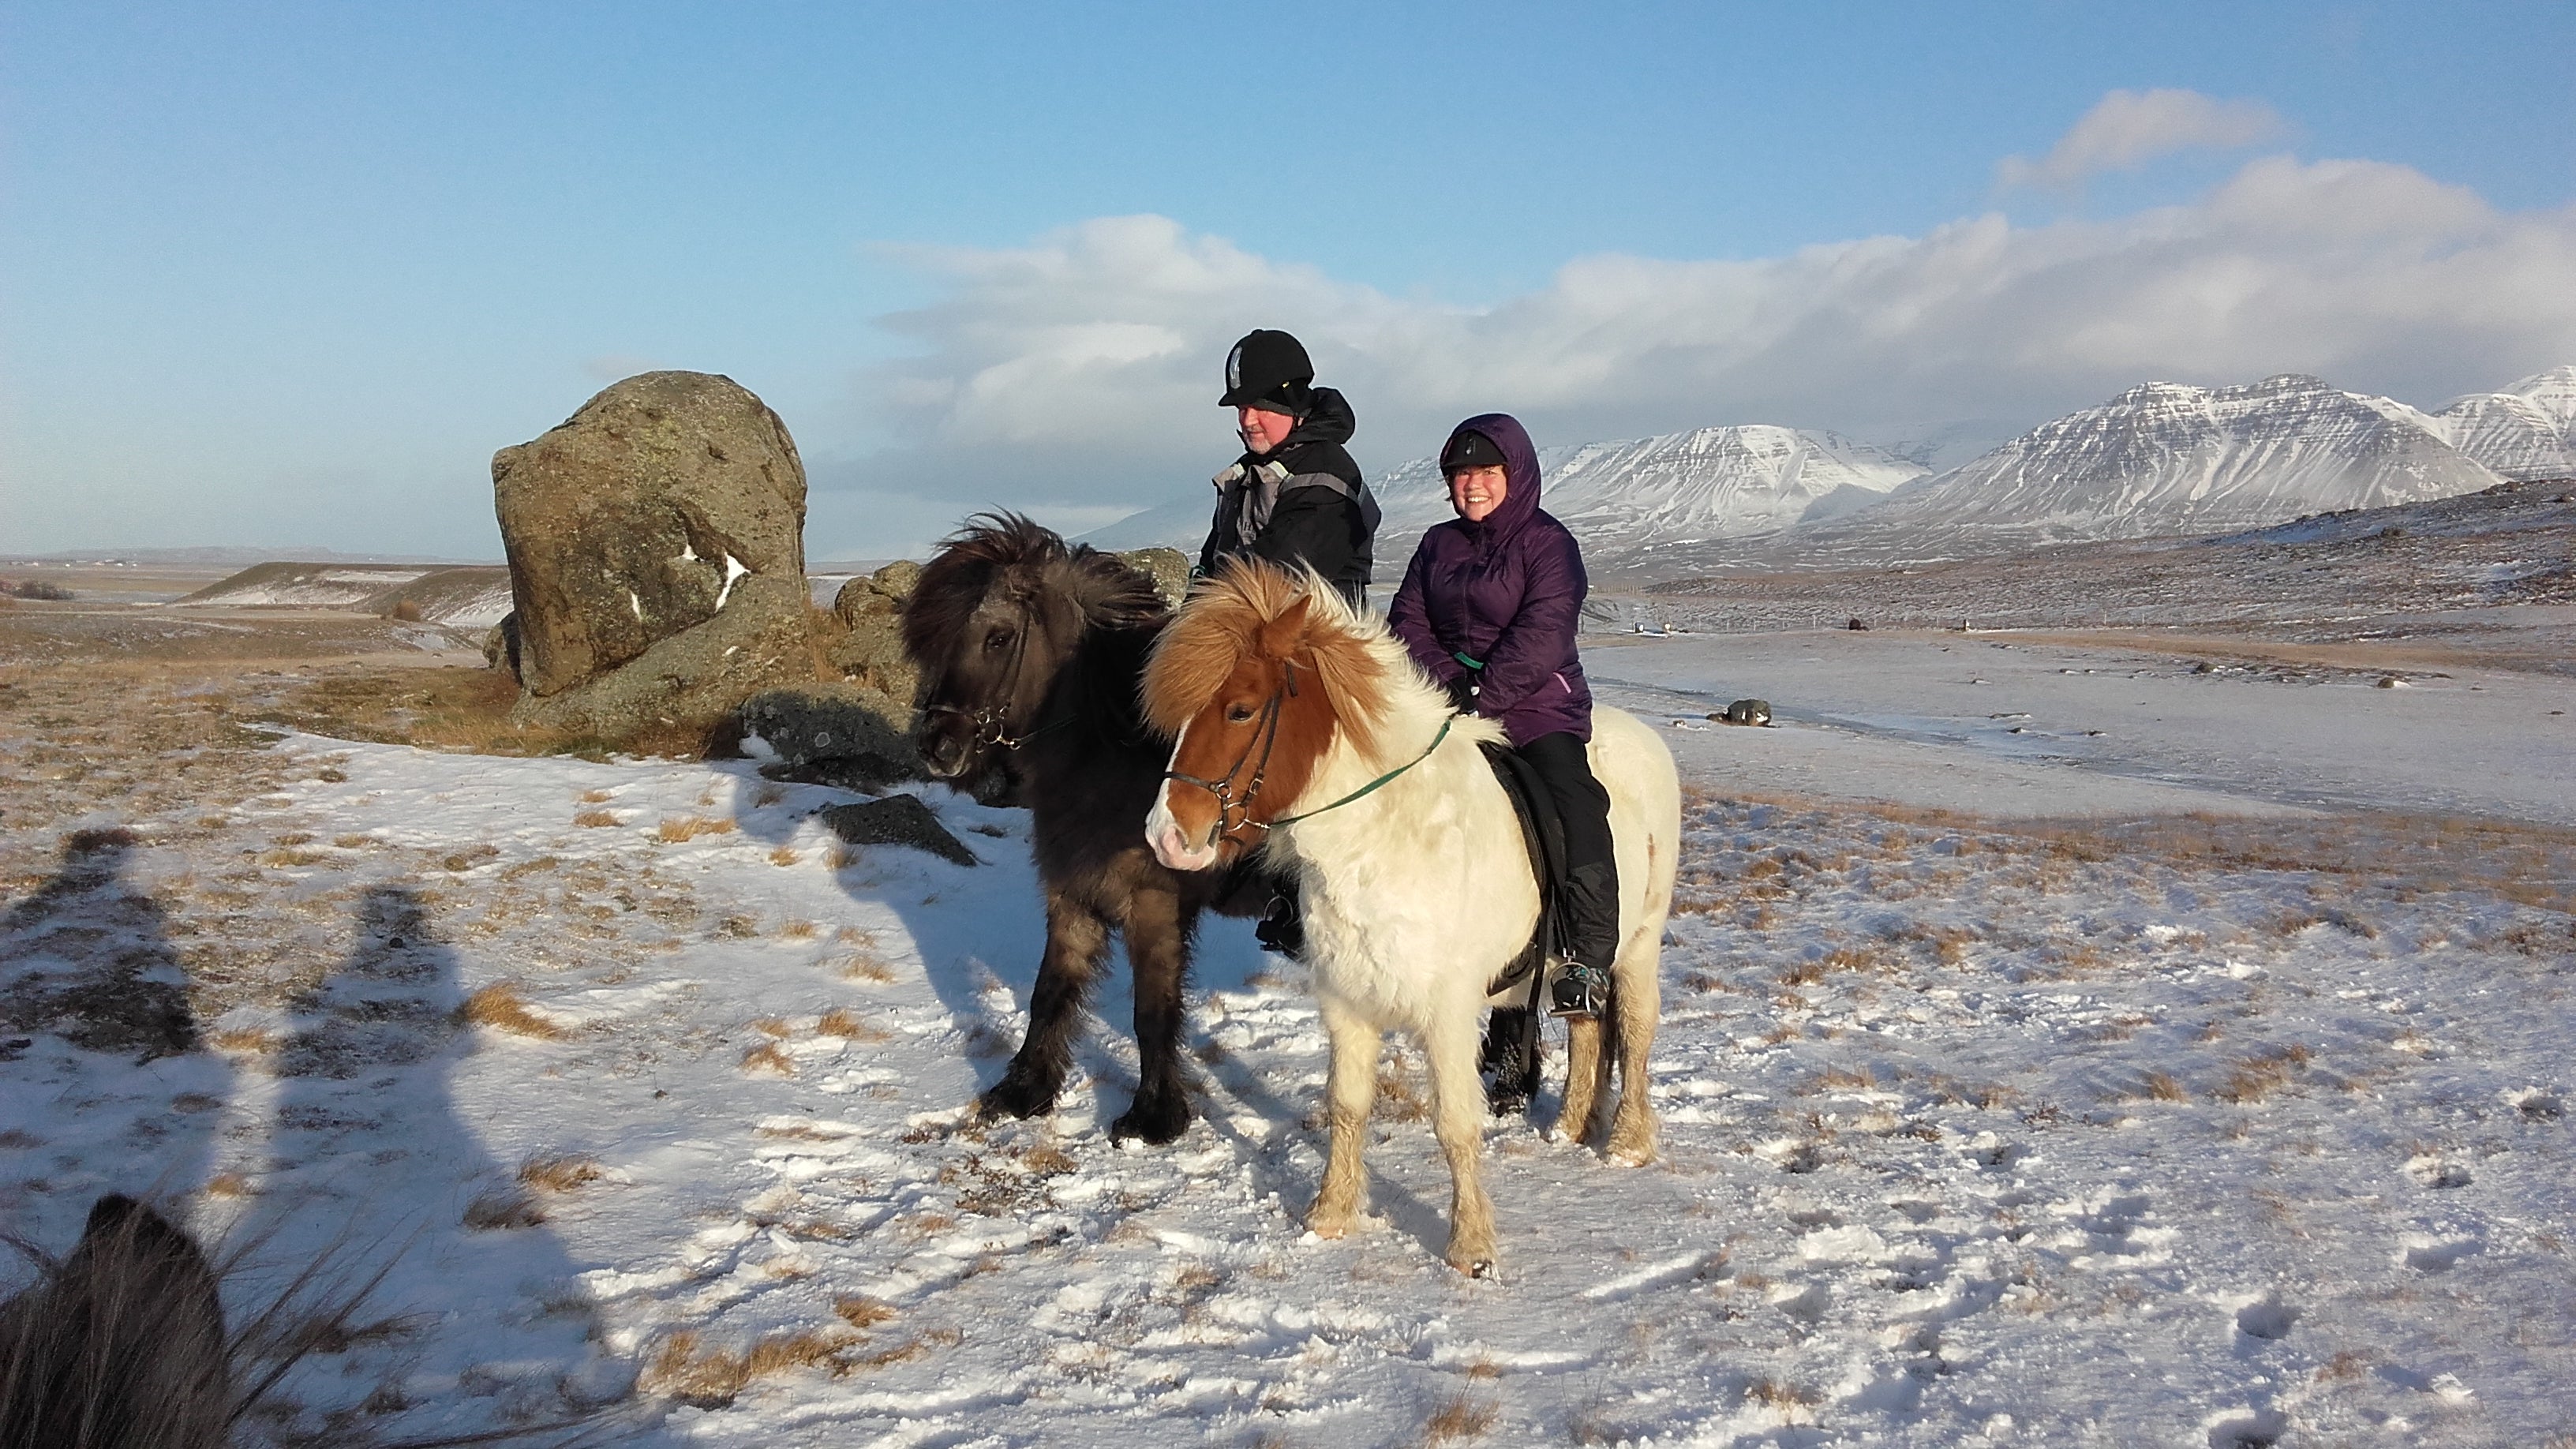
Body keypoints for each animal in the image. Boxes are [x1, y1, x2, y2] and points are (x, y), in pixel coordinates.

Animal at [904, 514, 1258, 1145]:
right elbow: (1051, 990)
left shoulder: (1155, 907)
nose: (937, 747)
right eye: (932, 642)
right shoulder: (1071, 896)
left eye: (998, 637)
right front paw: (1023, 1090)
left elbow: (1152, 1010)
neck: (1112, 760)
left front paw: (1154, 1117)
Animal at [1140, 560, 1680, 1276]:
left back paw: (1627, 1142)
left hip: (1639, 944)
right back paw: (1569, 1127)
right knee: (1588, 1027)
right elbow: (1346, 1106)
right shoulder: (1346, 1004)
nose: (1168, 837)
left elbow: (1455, 1124)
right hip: (1574, 965)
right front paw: (1332, 1214)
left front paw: (1471, 1248)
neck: (1383, 840)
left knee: (1637, 1033)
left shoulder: (1447, 1011)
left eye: (1240, 708)